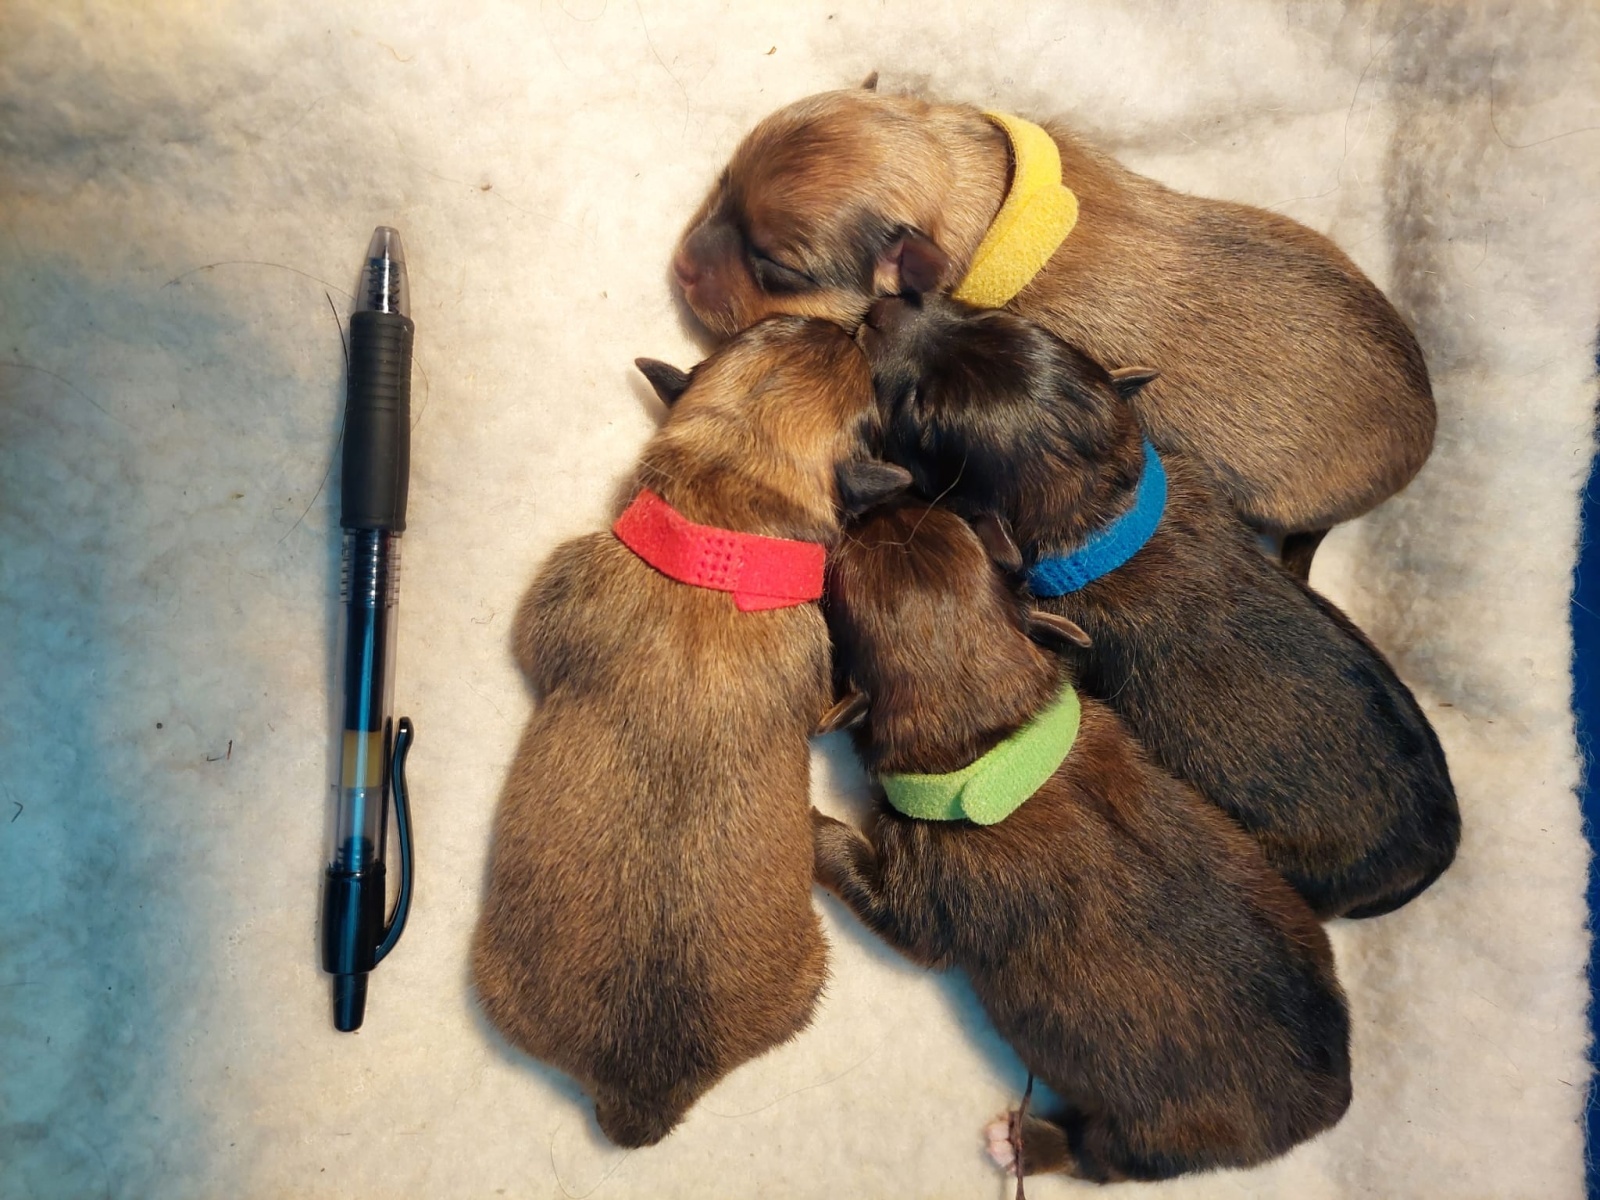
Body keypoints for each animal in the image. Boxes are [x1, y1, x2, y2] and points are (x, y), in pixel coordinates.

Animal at [813, 499, 1351, 1182]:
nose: (879, 506)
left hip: (1163, 1133)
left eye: (841, 575)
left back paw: (1025, 1141)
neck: (991, 734)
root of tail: (1329, 1101)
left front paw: (811, 828)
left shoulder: (930, 886)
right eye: (947, 523)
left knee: (1102, 1158)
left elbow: (885, 900)